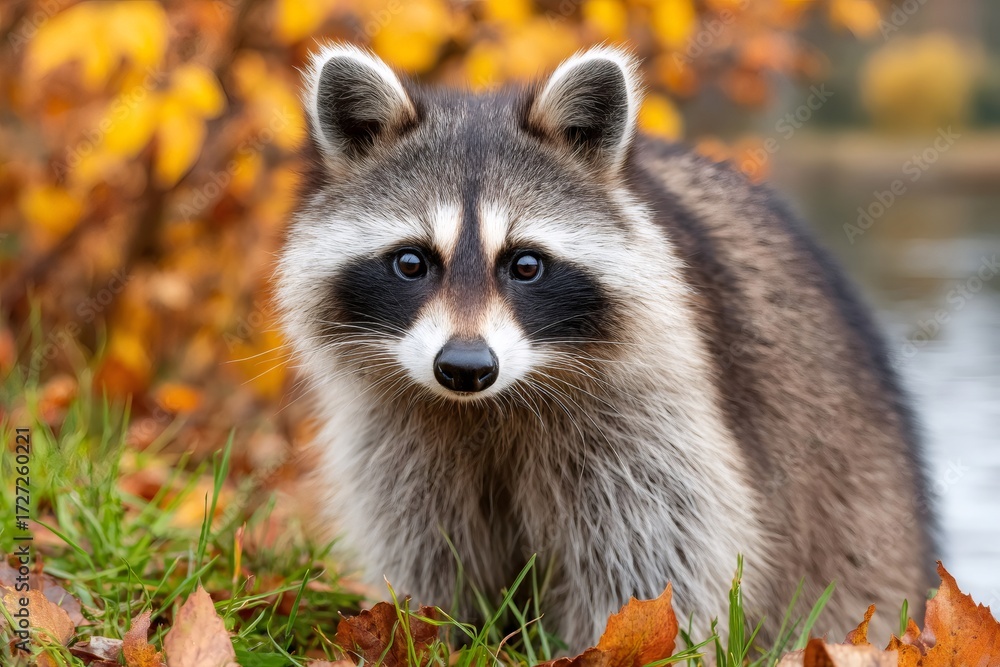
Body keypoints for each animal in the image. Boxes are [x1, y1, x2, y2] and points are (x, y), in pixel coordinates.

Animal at [276, 44, 935, 650]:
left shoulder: (653, 405)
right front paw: (434, 632)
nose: (465, 367)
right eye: (412, 262)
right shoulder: (397, 428)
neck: (488, 408)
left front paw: (604, 646)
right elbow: (425, 540)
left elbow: (659, 550)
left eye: (526, 264)